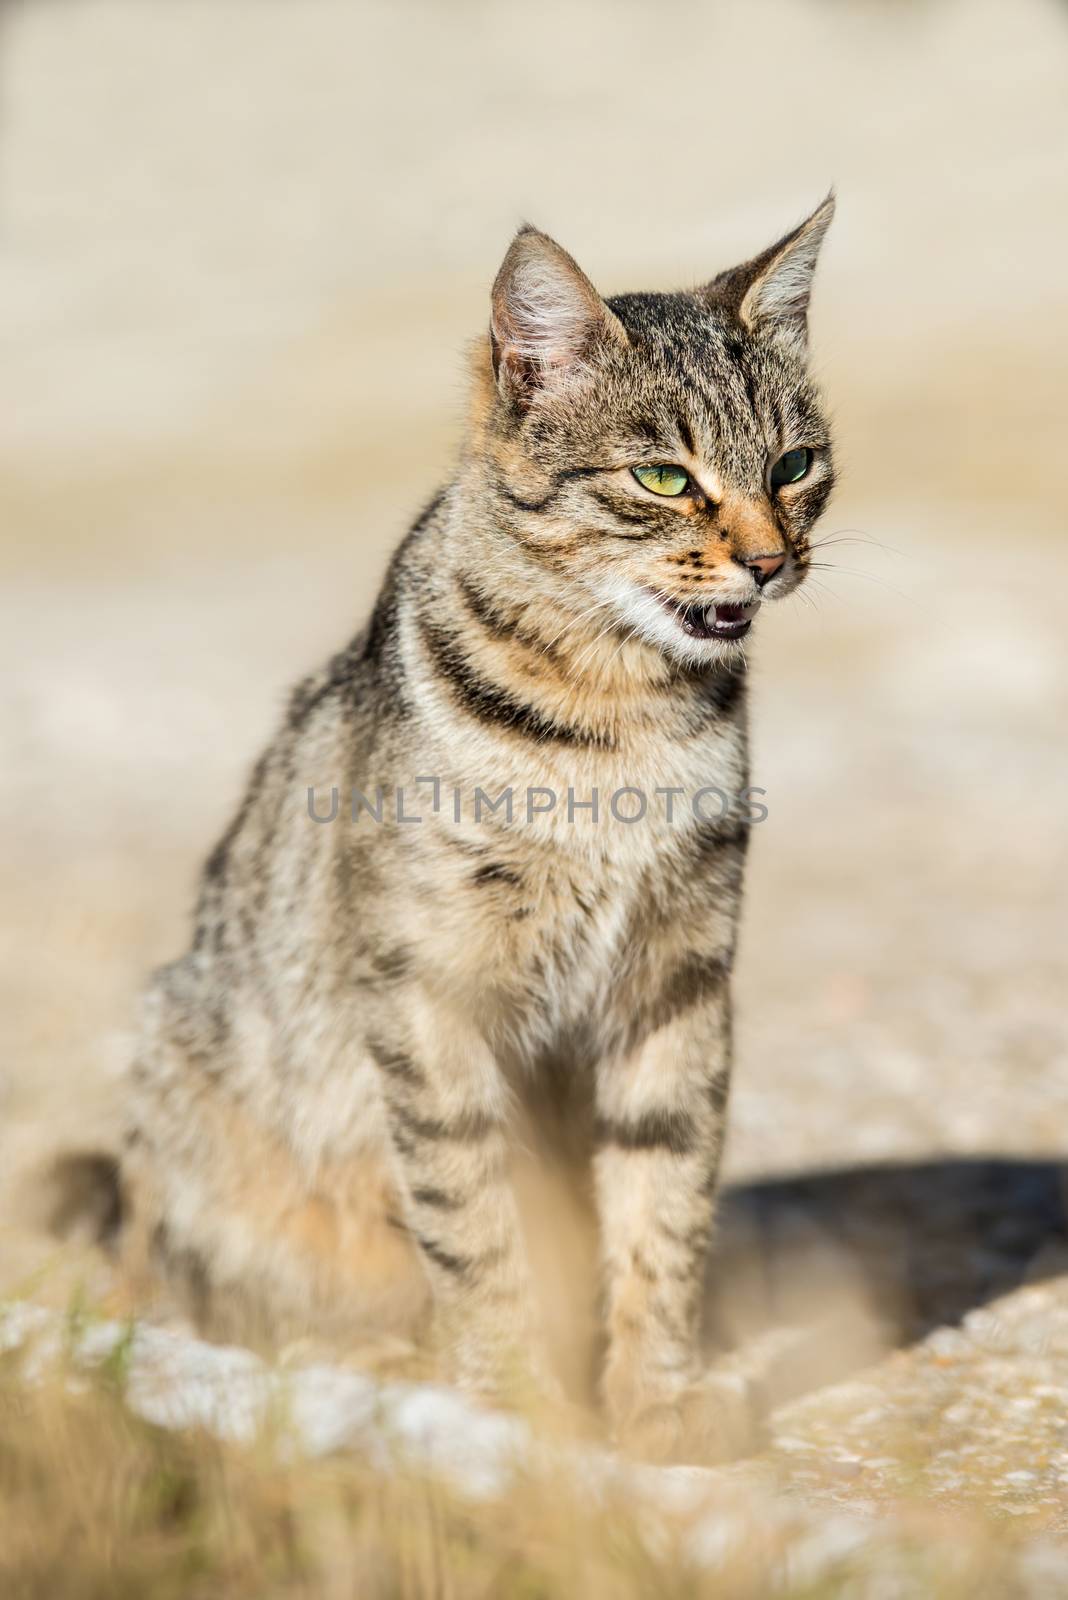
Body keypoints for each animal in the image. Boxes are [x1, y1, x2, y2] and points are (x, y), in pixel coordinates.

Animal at [85, 200, 831, 1465]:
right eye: (662, 476)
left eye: (793, 465)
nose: (772, 560)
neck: (622, 719)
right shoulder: (429, 987)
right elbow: (472, 1217)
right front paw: (514, 1406)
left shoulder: (678, 979)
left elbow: (664, 1203)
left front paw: (654, 1396)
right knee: (213, 1300)